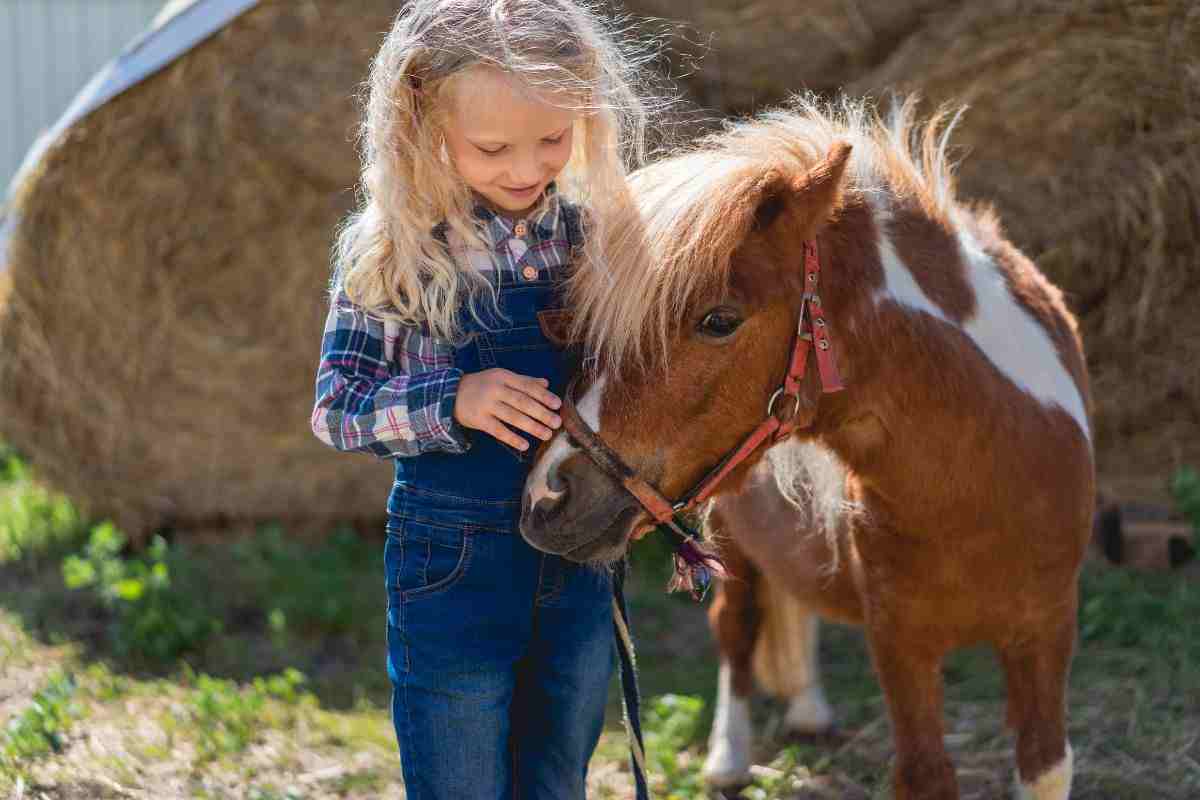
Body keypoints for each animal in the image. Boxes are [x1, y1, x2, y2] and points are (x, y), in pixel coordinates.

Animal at [519, 97, 1093, 800]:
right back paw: (729, 757)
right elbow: (926, 773)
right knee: (737, 632)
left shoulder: (1046, 632)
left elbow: (1044, 761)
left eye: (718, 320)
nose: (547, 496)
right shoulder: (901, 644)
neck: (978, 485)